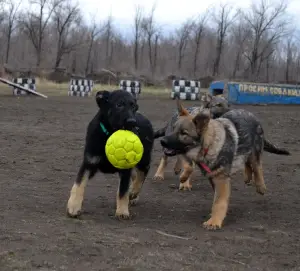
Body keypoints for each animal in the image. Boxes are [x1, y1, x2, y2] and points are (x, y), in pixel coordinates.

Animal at [66, 90, 154, 220]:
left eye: (133, 107)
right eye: (119, 105)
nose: (132, 123)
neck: (109, 133)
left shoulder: (125, 168)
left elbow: (122, 191)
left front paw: (122, 211)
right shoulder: (89, 163)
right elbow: (78, 184)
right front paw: (73, 206)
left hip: (144, 159)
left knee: (142, 174)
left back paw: (134, 193)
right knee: (135, 176)